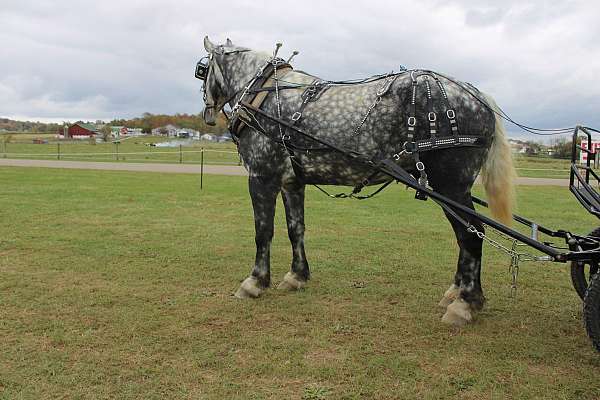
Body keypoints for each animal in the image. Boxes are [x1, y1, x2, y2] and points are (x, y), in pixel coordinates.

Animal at [199, 36, 512, 326]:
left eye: (201, 70)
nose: (208, 114)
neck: (263, 95)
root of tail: (478, 95)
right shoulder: (292, 182)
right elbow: (295, 229)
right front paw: (297, 276)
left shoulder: (262, 177)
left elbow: (263, 232)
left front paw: (255, 282)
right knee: (465, 236)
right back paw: (457, 292)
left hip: (452, 185)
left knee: (471, 235)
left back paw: (465, 303)